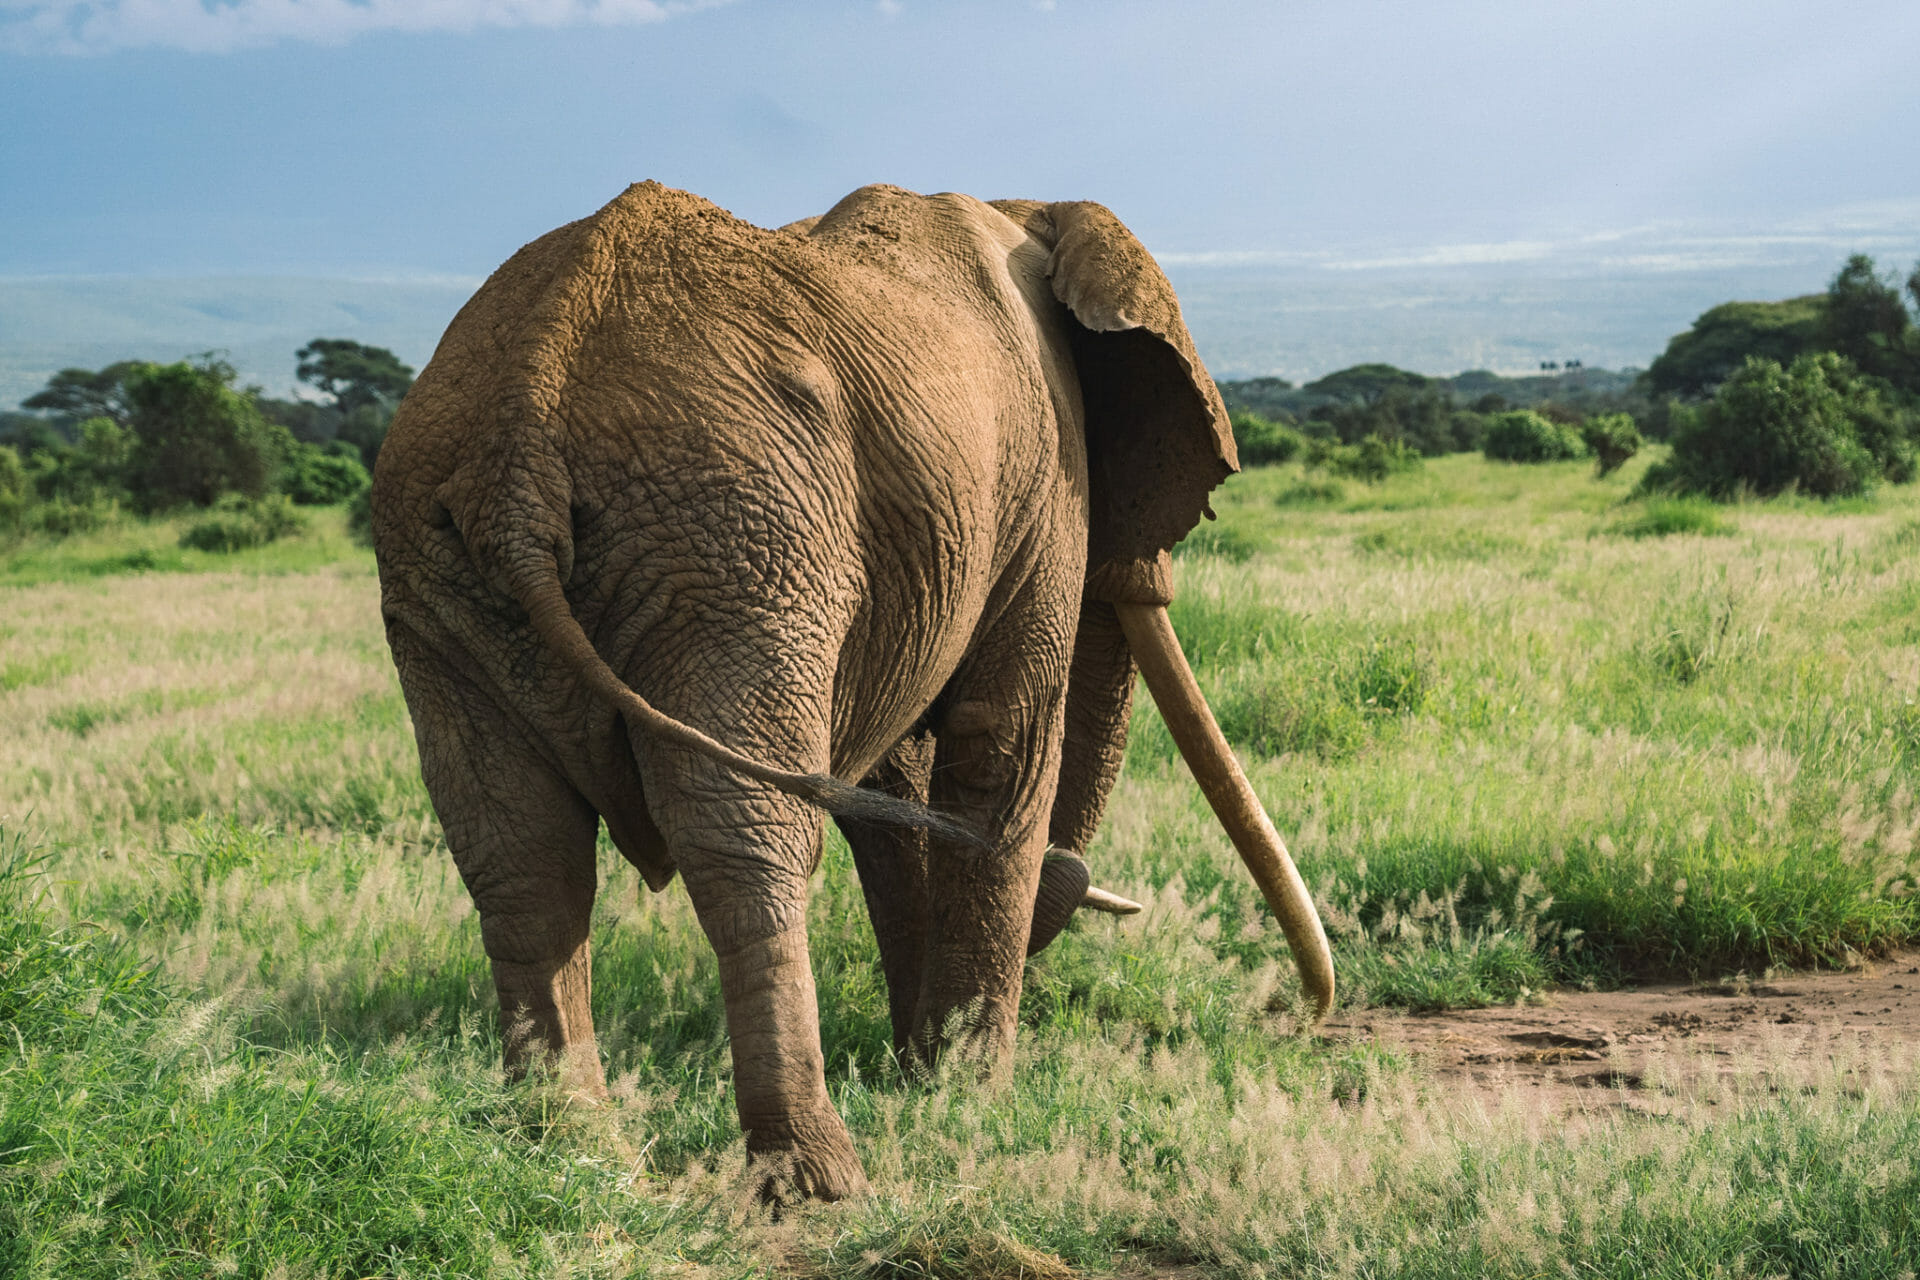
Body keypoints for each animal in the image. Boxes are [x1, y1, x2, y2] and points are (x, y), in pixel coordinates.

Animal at [370, 181, 1333, 1201]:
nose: (1304, 1015)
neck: (1030, 210)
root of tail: (525, 414)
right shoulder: (1045, 472)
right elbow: (1000, 740)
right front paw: (970, 1101)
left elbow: (893, 785)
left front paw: (923, 1075)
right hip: (737, 538)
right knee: (744, 837)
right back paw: (818, 1180)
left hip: (451, 569)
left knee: (518, 852)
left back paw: (575, 1155)